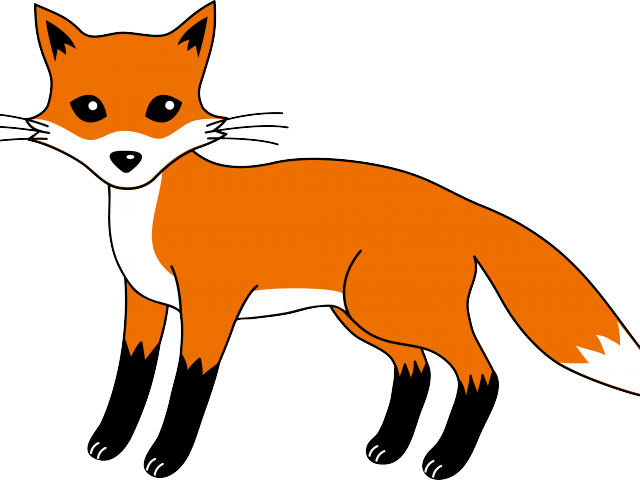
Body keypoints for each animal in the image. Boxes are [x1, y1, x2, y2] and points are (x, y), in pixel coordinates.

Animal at [2, 2, 638, 479]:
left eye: (164, 108)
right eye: (89, 108)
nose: (126, 158)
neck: (150, 212)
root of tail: (458, 202)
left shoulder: (211, 304)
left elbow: (188, 384)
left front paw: (163, 458)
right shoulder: (143, 301)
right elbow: (131, 374)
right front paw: (110, 445)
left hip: (395, 310)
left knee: (481, 375)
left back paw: (443, 461)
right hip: (360, 316)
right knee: (416, 370)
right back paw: (391, 449)